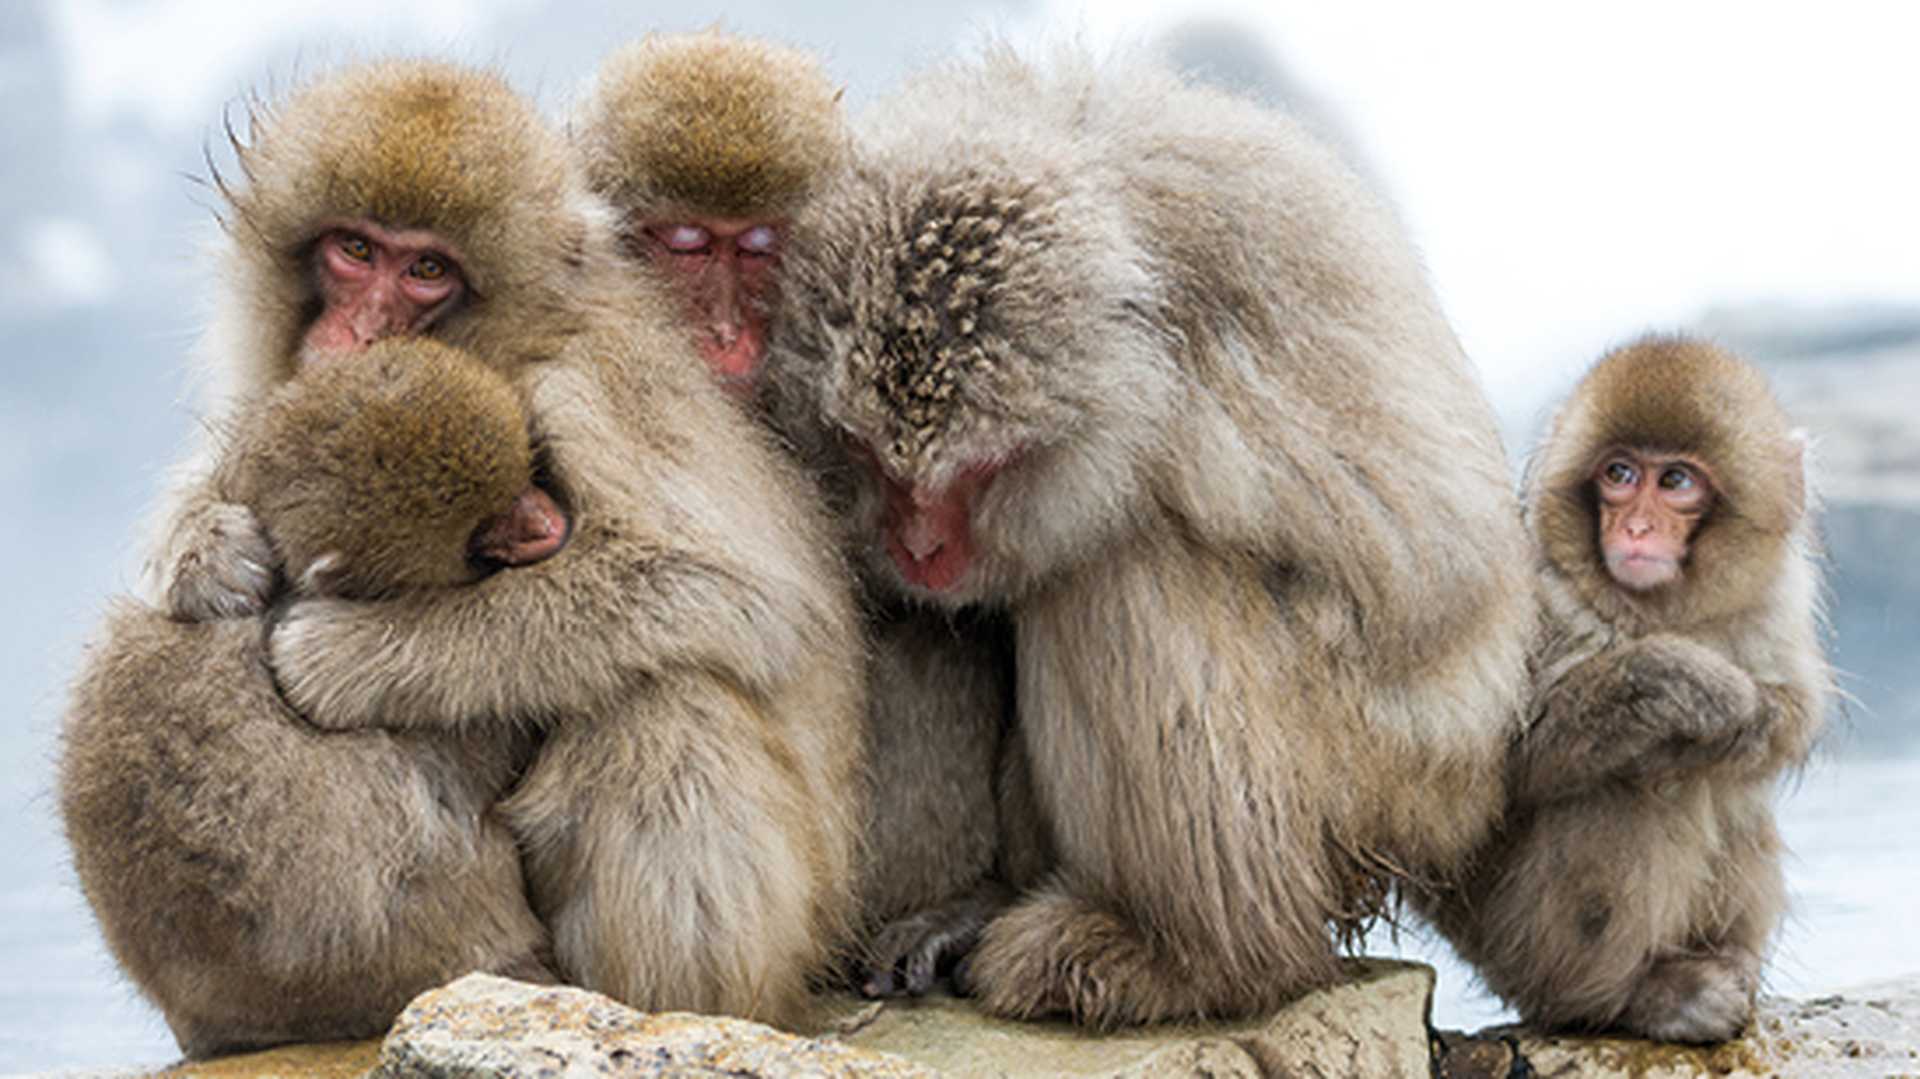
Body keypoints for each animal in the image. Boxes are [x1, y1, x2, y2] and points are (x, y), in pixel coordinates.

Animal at [127, 59, 865, 1032]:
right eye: (354, 249)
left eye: (428, 269)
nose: (360, 332)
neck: (505, 342)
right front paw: (201, 545)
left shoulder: (584, 385)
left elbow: (723, 583)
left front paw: (346, 656)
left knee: (662, 700)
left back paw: (661, 1004)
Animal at [763, 44, 1534, 1028]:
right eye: (868, 456)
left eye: (983, 470)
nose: (920, 547)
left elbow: (1419, 553)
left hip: (1378, 780)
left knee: (1120, 569)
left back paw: (1198, 956)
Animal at [1425, 335, 1831, 1043]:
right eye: (1618, 474)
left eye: (1675, 481)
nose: (1636, 529)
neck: (1659, 611)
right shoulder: (1543, 593)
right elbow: (1493, 773)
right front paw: (1682, 679)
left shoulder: (1780, 596)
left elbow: (1793, 717)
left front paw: (1752, 713)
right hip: (1510, 941)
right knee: (1633, 793)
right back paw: (1631, 999)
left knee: (1725, 790)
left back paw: (1723, 960)